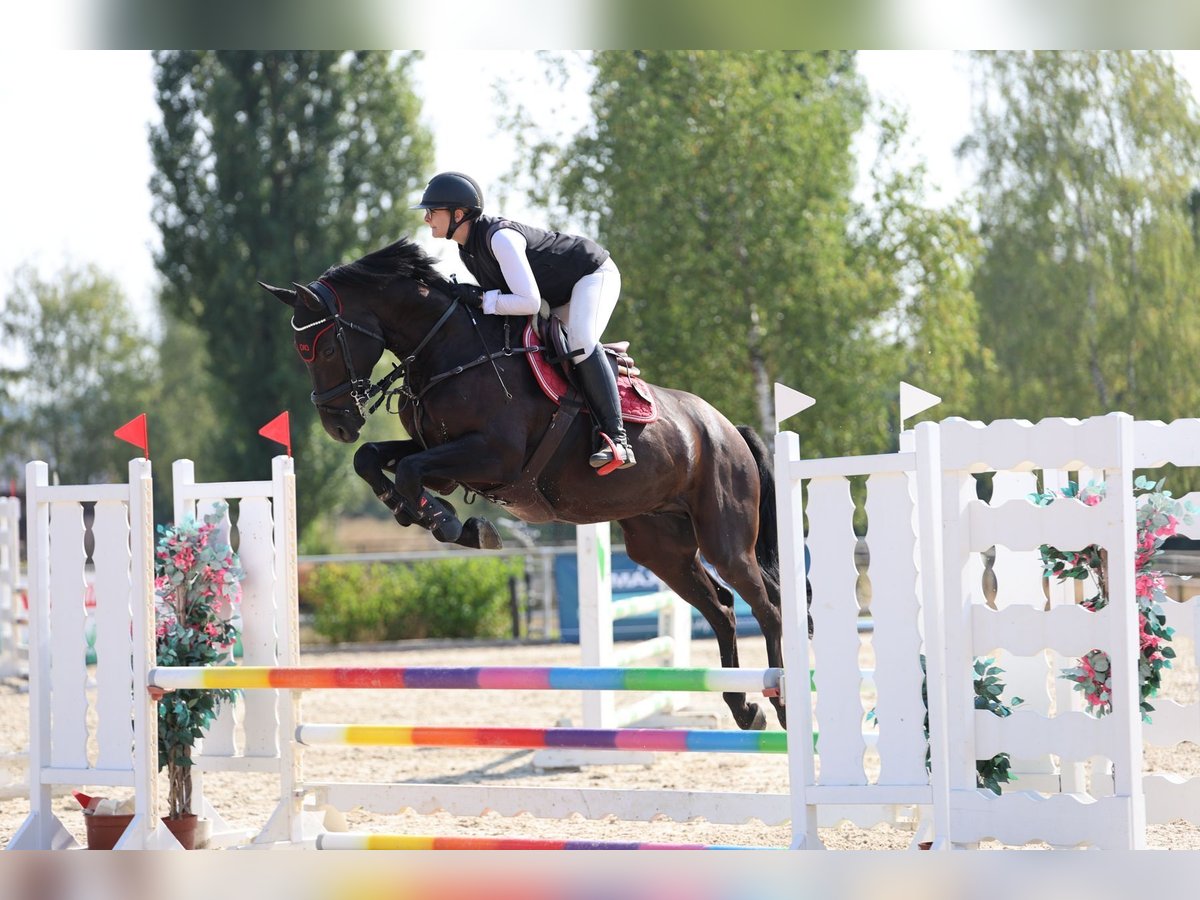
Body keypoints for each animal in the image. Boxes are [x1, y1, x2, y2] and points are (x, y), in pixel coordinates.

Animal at [260, 236, 787, 729]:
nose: (337, 426)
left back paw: (782, 704)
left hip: (724, 538)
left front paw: (455, 526)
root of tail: (726, 429)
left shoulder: (494, 457)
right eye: (301, 353)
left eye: (327, 347)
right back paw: (744, 709)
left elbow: (409, 473)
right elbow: (371, 460)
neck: (448, 349)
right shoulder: (441, 456)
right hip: (661, 548)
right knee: (722, 609)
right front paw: (425, 514)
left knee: (767, 607)